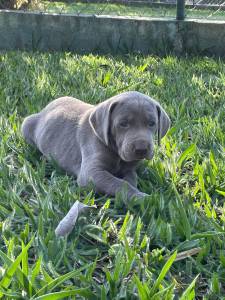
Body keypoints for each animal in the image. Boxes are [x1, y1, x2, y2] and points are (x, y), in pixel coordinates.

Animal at [22, 91, 171, 199]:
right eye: (123, 124)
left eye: (152, 123)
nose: (141, 149)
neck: (116, 152)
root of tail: (47, 107)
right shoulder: (90, 173)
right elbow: (119, 183)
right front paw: (142, 198)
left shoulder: (129, 168)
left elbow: (130, 179)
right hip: (26, 123)